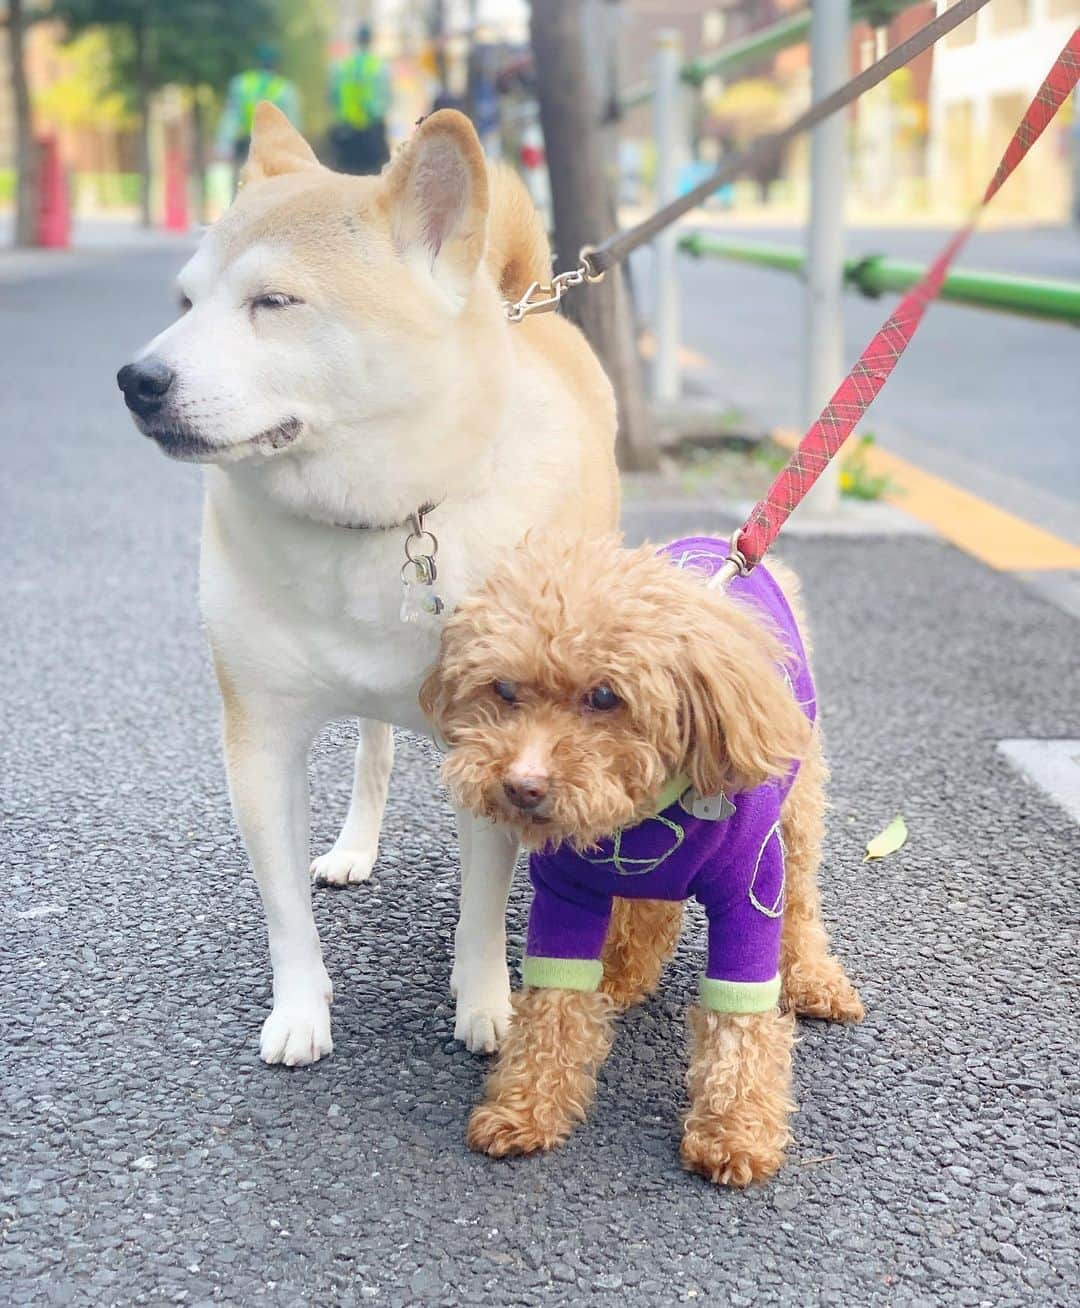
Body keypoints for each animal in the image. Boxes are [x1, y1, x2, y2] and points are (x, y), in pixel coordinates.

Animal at [113, 102, 619, 1062]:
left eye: (274, 303)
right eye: (185, 304)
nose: (137, 378)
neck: (374, 522)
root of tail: (526, 300)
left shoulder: (498, 739)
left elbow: (482, 908)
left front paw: (484, 1003)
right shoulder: (259, 741)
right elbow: (285, 915)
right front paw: (300, 1012)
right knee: (374, 754)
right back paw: (354, 845)